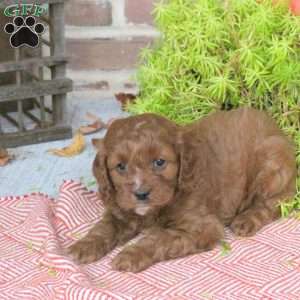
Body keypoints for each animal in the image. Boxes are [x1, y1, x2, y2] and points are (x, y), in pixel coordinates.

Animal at [67, 107, 296, 272]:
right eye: (120, 167)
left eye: (159, 162)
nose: (141, 194)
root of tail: (277, 129)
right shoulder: (121, 210)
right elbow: (104, 228)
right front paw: (83, 246)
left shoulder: (202, 226)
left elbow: (159, 238)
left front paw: (130, 255)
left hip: (271, 169)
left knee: (275, 202)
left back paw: (246, 220)